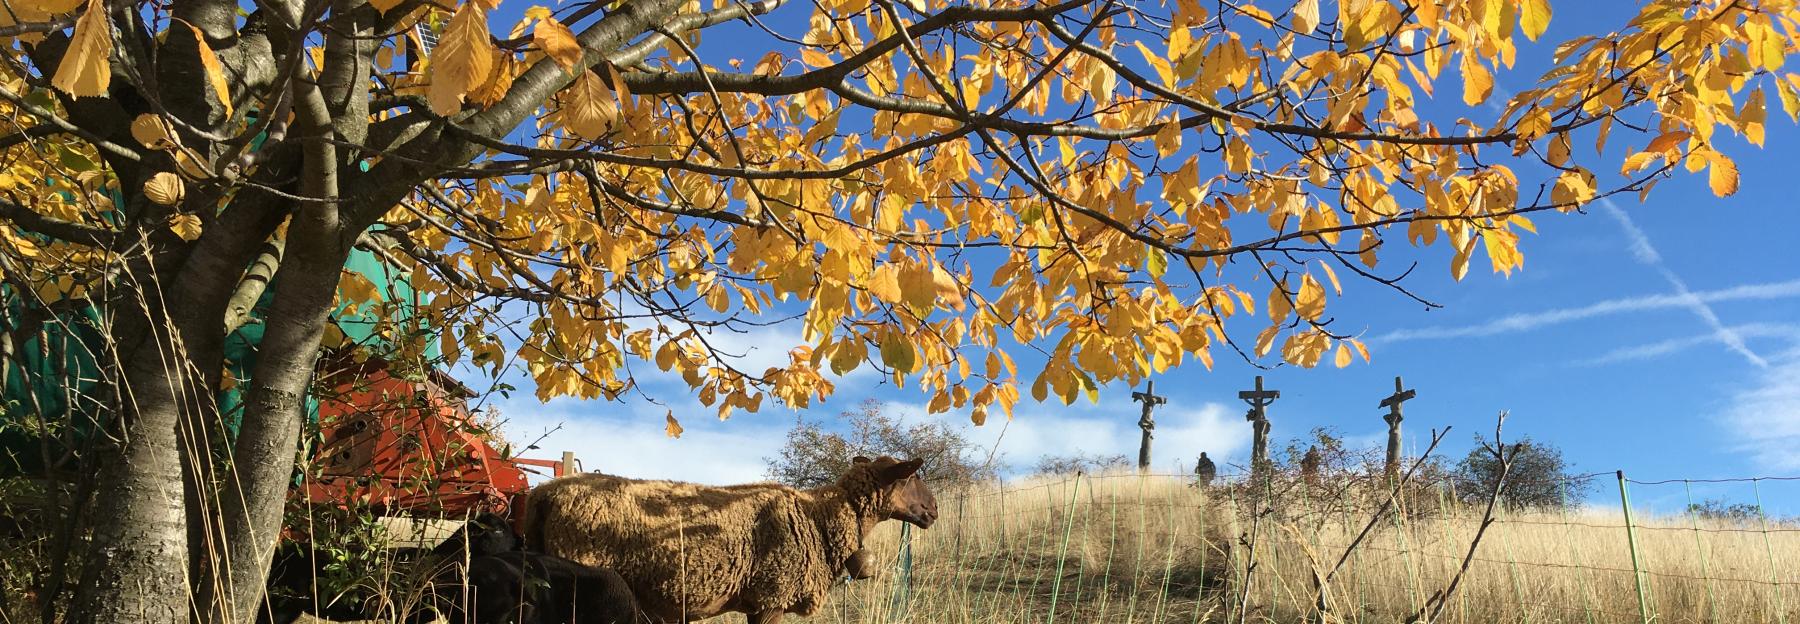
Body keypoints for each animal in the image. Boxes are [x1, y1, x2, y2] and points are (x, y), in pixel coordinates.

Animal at [525, 454, 936, 624]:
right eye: (911, 476)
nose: (933, 509)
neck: (819, 516)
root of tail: (544, 493)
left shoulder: (759, 602)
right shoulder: (773, 595)